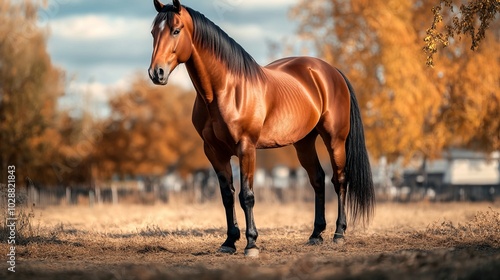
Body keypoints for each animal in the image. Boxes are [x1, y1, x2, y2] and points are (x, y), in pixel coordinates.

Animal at [146, 0, 374, 258]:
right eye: (153, 32)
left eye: (176, 30)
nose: (156, 73)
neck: (225, 90)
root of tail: (331, 71)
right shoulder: (214, 151)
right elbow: (227, 195)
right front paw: (229, 241)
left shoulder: (246, 148)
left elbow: (247, 195)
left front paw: (251, 244)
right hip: (304, 142)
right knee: (317, 179)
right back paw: (316, 235)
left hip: (335, 139)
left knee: (340, 180)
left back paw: (339, 233)